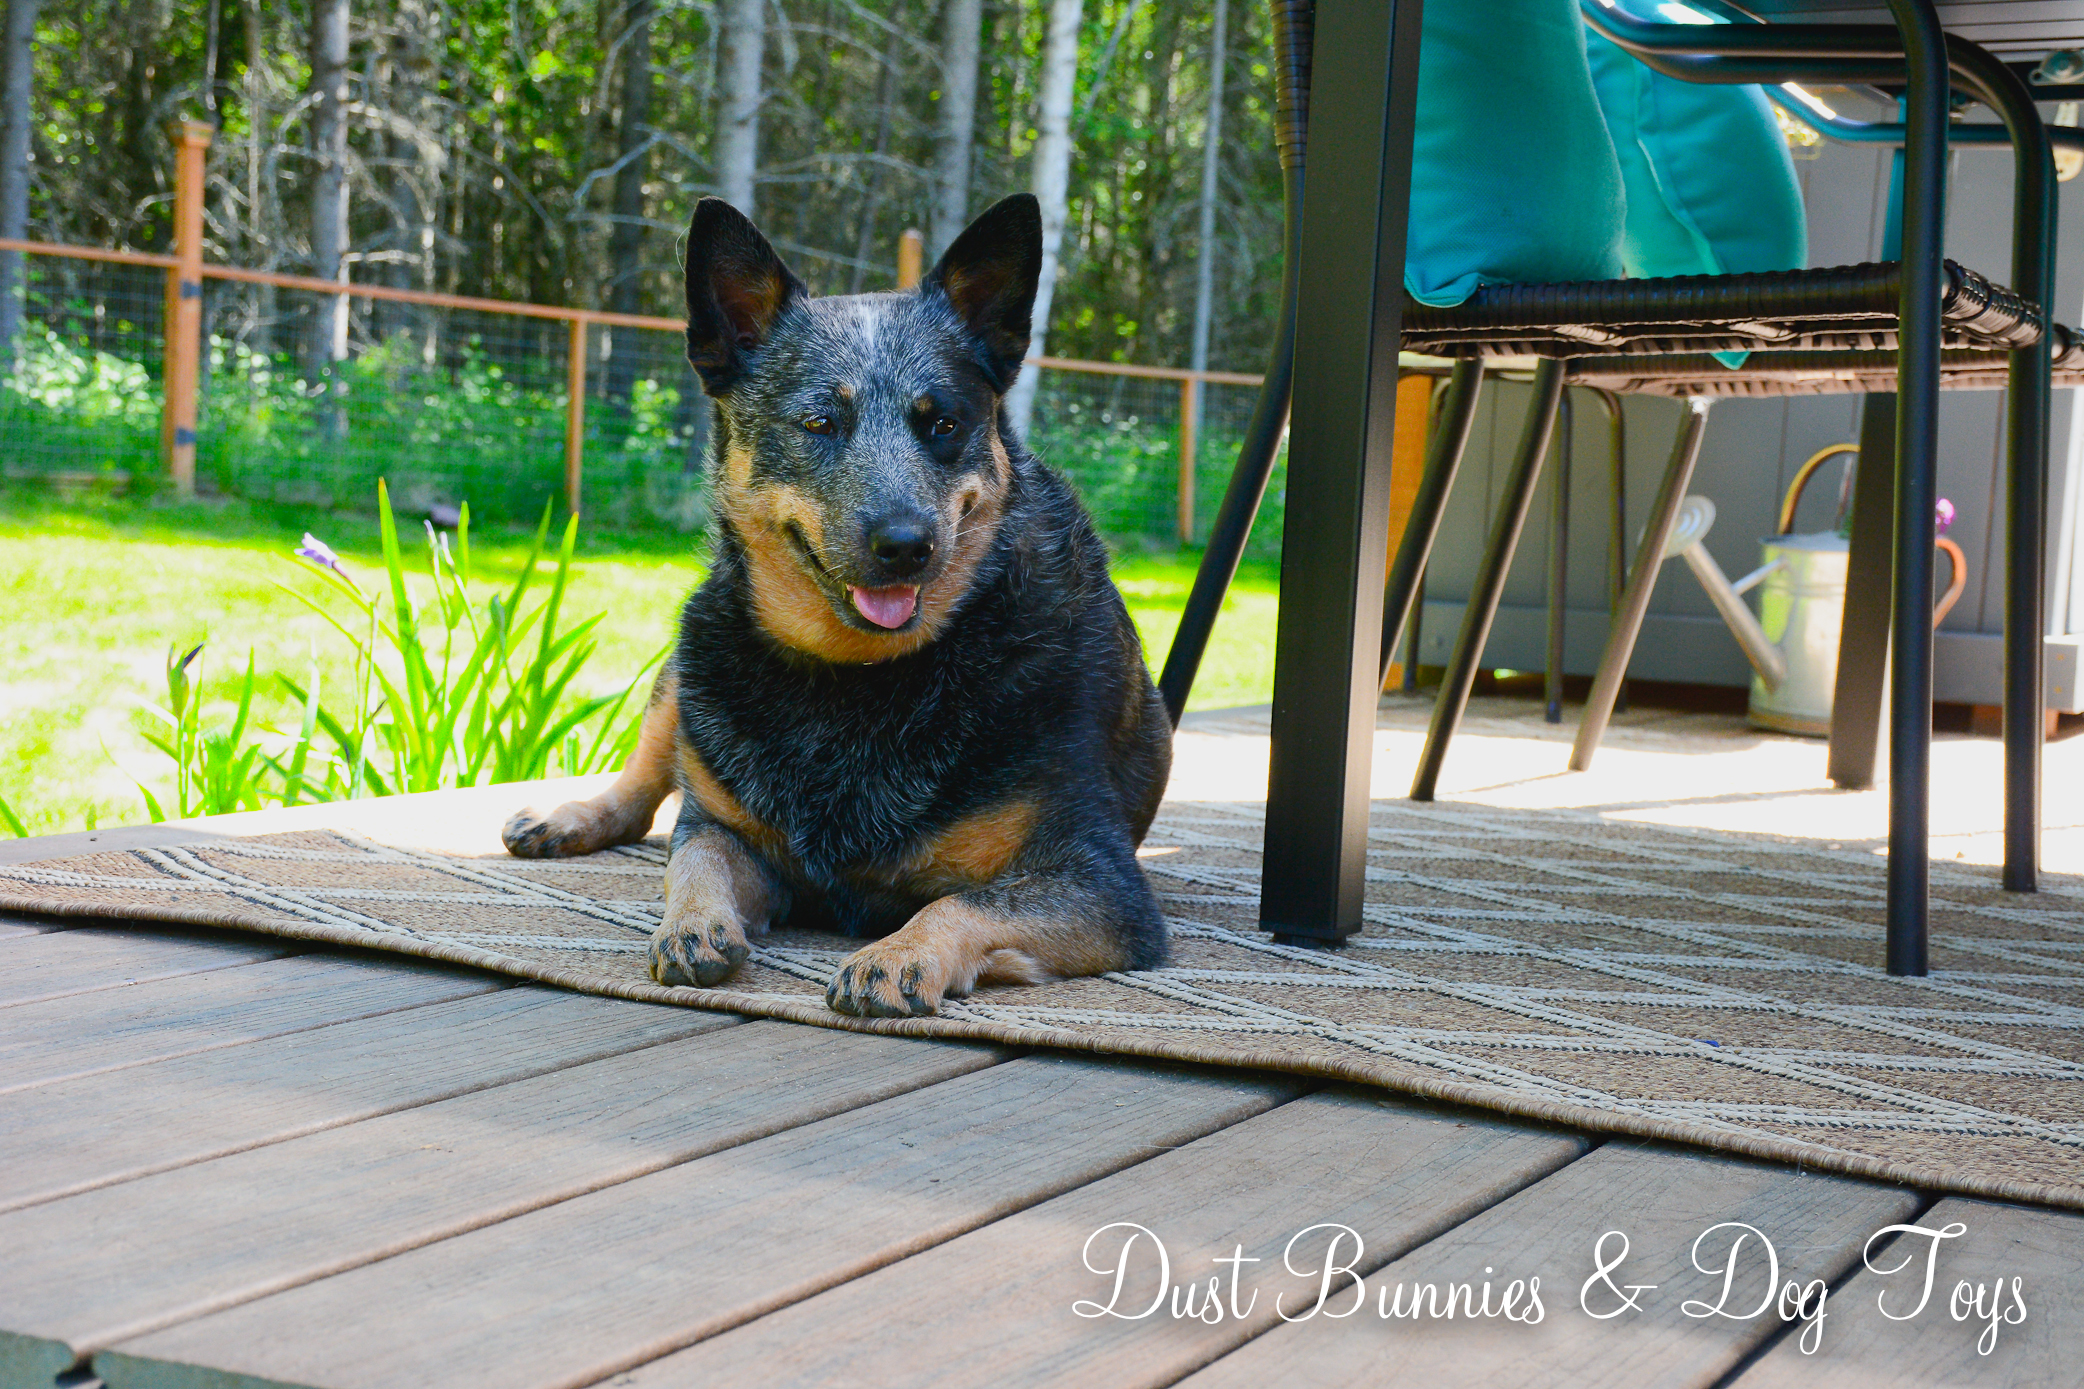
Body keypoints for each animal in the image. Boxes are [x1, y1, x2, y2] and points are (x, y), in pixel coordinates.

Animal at [502, 192, 1171, 1017]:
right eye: (820, 423)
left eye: (943, 422)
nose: (905, 543)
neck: (857, 679)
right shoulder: (732, 831)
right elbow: (694, 855)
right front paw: (690, 924)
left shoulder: (1101, 882)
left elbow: (960, 902)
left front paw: (899, 955)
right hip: (691, 655)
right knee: (645, 772)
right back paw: (565, 816)